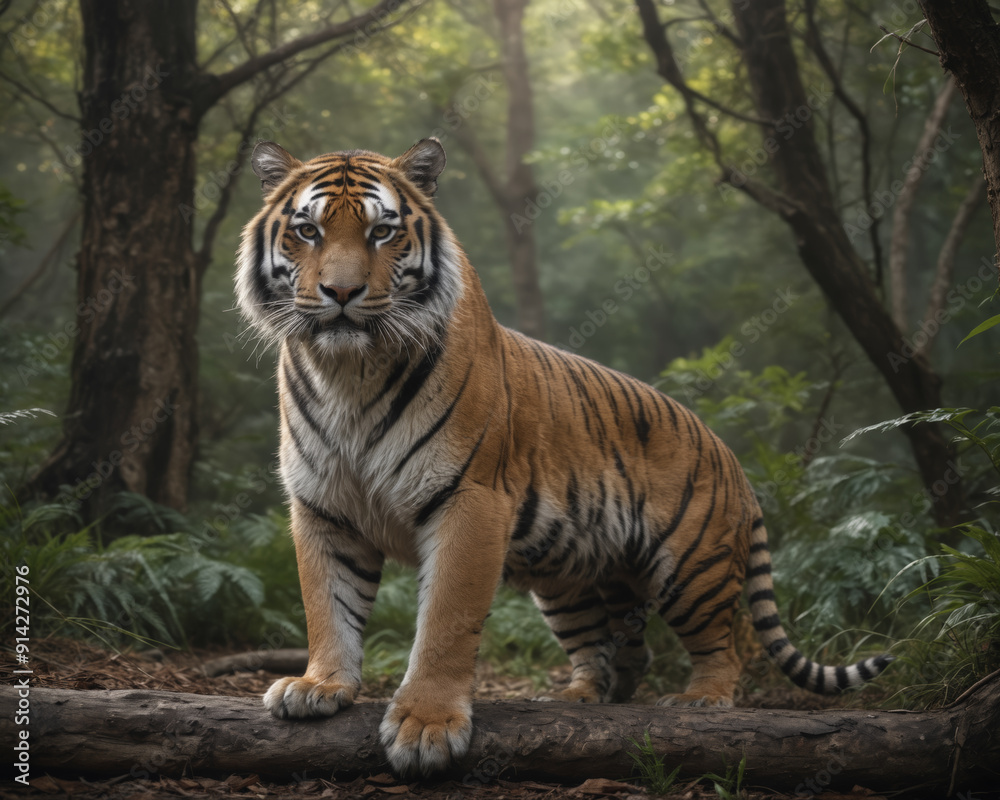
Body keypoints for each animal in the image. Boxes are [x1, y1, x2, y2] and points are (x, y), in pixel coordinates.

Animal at [234, 137, 892, 777]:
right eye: (308, 231)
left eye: (382, 232)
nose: (341, 293)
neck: (349, 371)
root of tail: (731, 457)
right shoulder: (324, 507)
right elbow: (327, 604)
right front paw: (320, 686)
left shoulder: (469, 500)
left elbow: (445, 621)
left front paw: (426, 725)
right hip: (568, 582)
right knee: (618, 649)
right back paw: (578, 697)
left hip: (691, 569)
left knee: (719, 644)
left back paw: (701, 699)